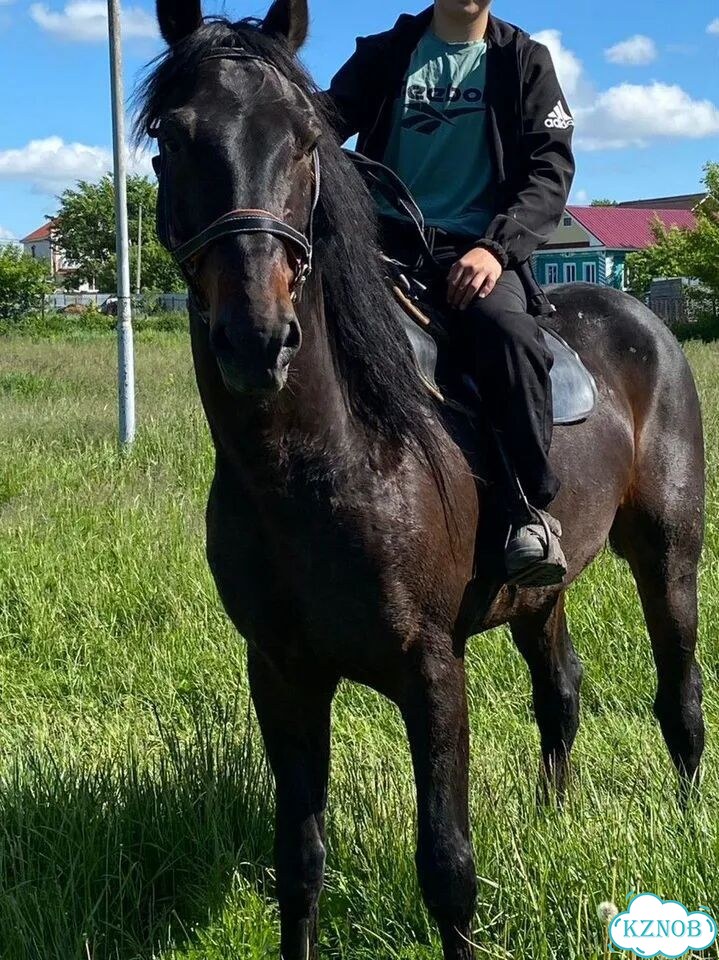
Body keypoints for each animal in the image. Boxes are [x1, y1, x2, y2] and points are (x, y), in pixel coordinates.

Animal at [138, 2, 706, 957]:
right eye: (173, 137)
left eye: (304, 141)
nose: (257, 340)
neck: (321, 462)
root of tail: (641, 318)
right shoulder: (280, 672)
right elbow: (298, 863)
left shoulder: (431, 669)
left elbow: (447, 870)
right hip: (539, 596)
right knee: (560, 692)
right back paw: (553, 821)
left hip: (666, 555)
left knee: (680, 697)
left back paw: (689, 824)